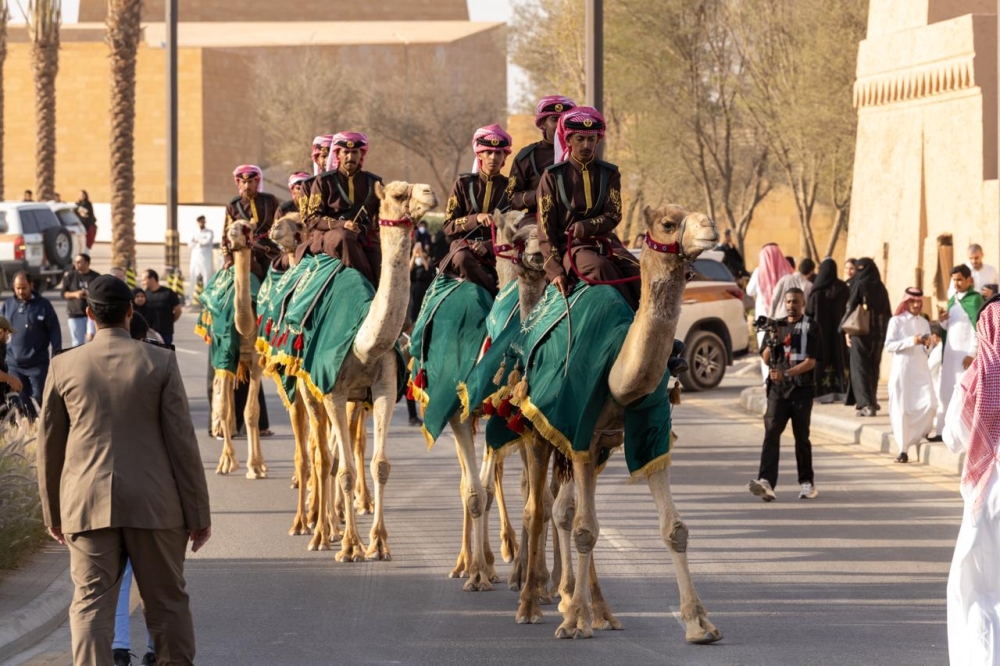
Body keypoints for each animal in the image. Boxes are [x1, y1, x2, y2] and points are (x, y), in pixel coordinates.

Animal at [504, 205, 724, 640]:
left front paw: (699, 622)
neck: (615, 376)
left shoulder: (645, 435)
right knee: (538, 508)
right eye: (668, 224)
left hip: (596, 449)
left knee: (564, 509)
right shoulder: (577, 430)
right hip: (536, 430)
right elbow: (584, 528)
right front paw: (573, 621)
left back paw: (599, 610)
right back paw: (529, 602)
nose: (710, 227)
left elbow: (674, 529)